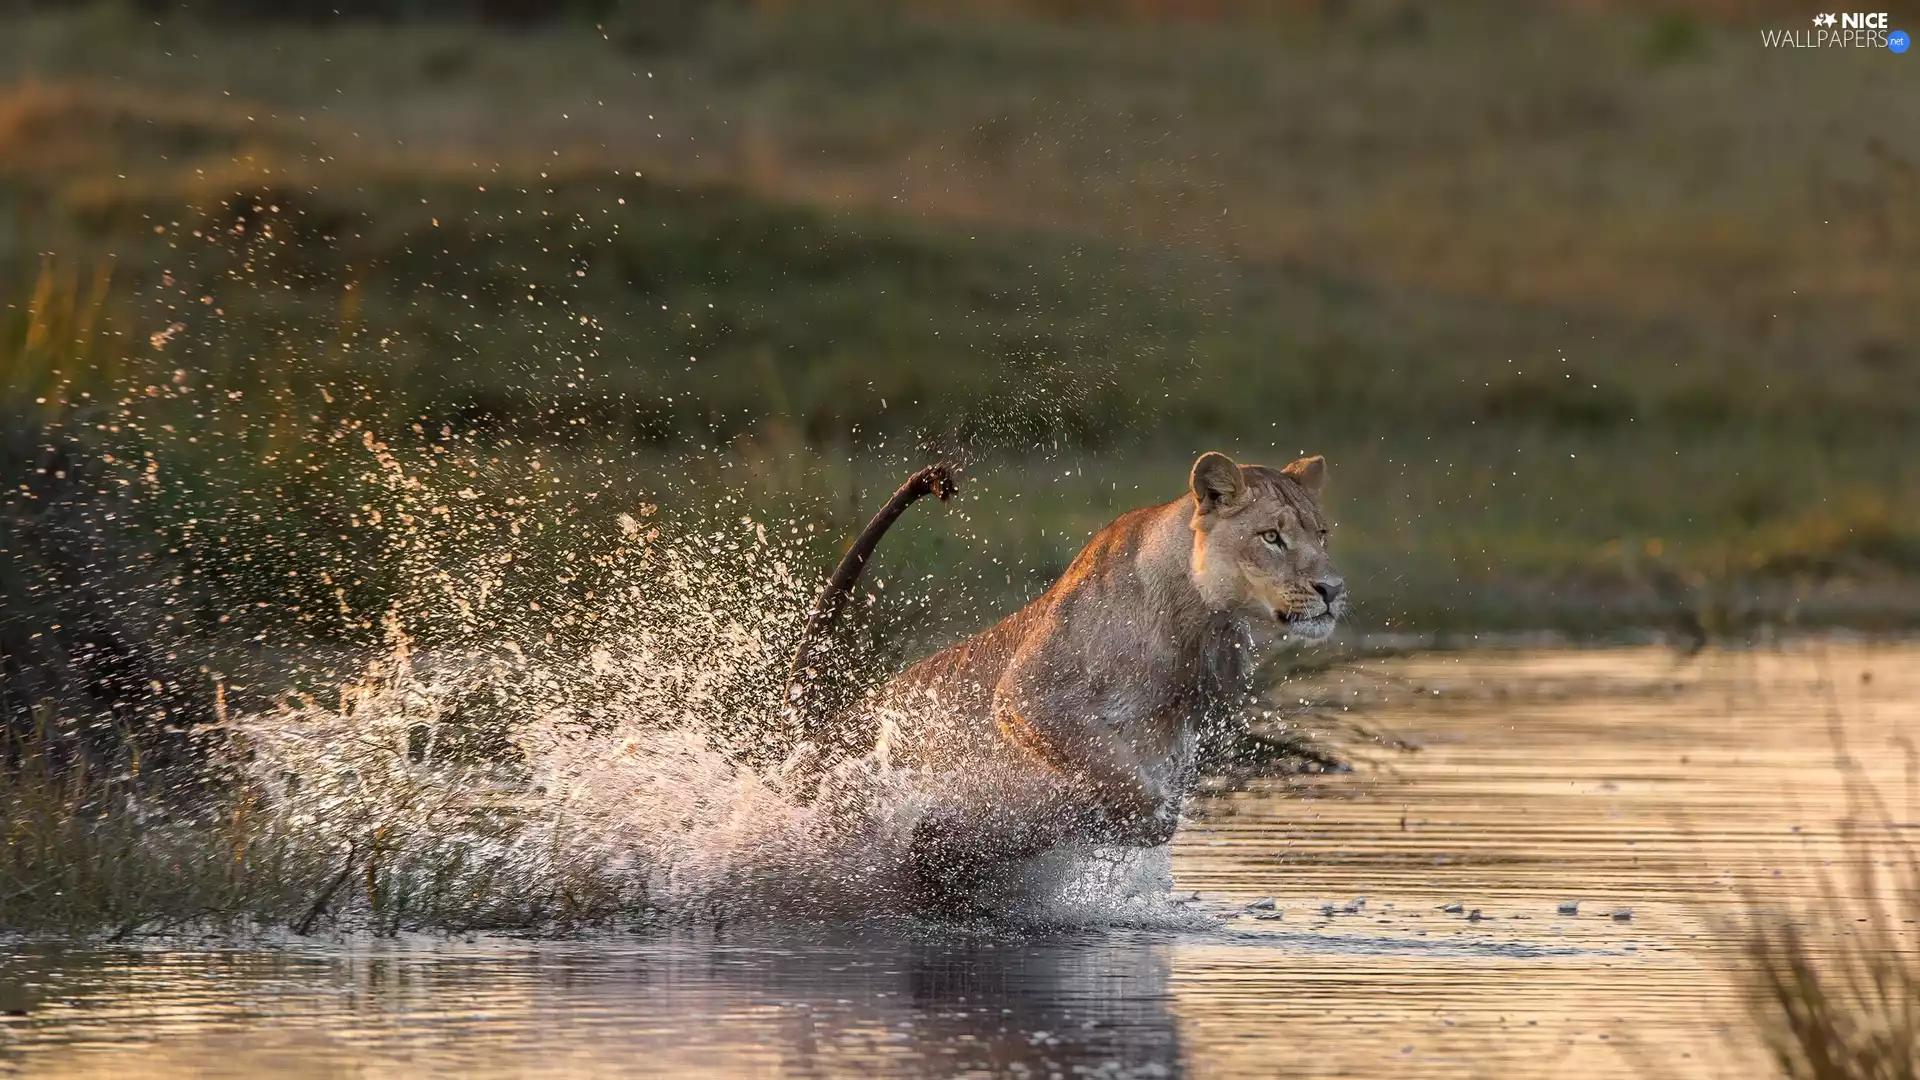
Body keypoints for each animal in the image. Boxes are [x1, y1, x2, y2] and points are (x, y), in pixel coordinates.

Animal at [779, 451, 1346, 904]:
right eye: (1271, 537)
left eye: (1321, 534)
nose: (1333, 589)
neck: (1201, 622)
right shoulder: (1031, 697)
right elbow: (1127, 790)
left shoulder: (1172, 737)